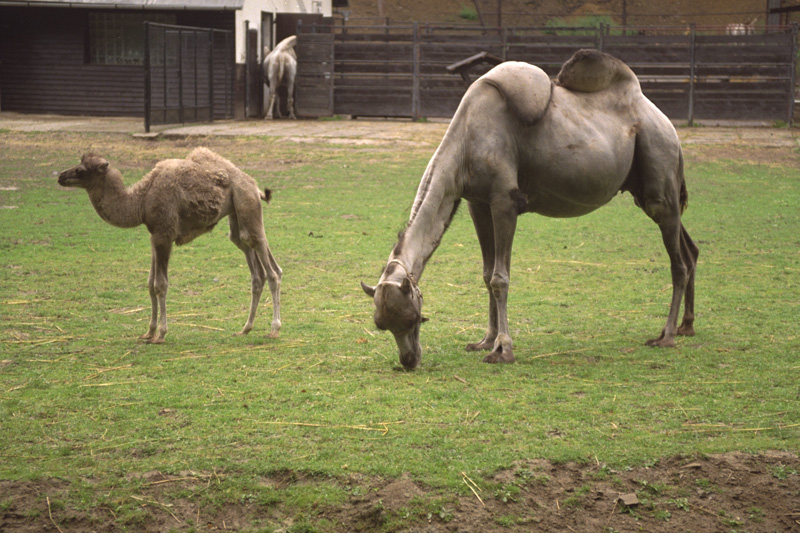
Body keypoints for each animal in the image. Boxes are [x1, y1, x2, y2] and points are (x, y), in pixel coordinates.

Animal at [57, 148, 282, 342]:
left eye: (81, 170)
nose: (60, 176)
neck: (141, 201)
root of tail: (254, 186)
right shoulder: (154, 237)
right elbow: (150, 283)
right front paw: (148, 332)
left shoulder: (164, 235)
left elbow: (160, 285)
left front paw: (161, 334)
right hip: (237, 216)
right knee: (256, 267)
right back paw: (245, 329)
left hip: (247, 205)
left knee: (271, 271)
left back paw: (274, 329)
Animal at [360, 48, 696, 370]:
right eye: (381, 325)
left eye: (414, 318)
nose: (408, 361)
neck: (467, 142)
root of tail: (667, 125)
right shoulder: (477, 203)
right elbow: (486, 274)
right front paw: (485, 341)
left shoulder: (504, 201)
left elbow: (500, 278)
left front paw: (503, 350)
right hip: (649, 191)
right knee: (689, 250)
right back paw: (686, 327)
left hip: (658, 168)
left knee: (677, 262)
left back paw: (665, 336)